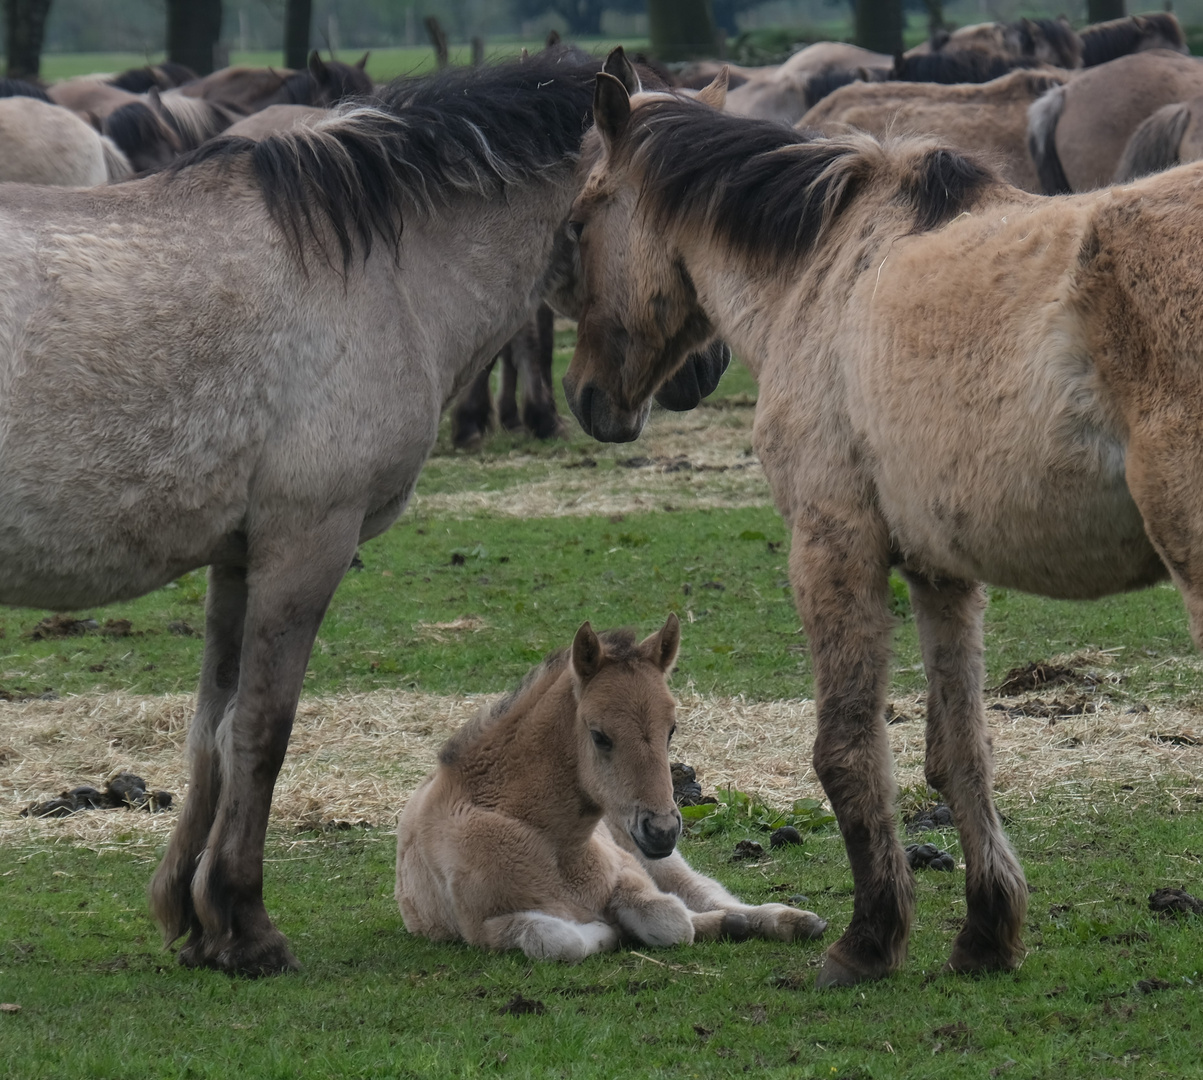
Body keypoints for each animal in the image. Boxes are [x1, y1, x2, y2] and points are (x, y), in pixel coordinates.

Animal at [394, 615, 827, 962]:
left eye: (672, 730)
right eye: (600, 736)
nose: (662, 831)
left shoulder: (629, 873)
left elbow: (672, 920)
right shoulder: (480, 928)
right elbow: (559, 939)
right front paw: (607, 931)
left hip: (658, 859)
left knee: (705, 893)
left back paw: (790, 921)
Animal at [558, 73, 1203, 986]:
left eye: (579, 224)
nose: (586, 398)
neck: (819, 275)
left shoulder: (832, 547)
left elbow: (848, 748)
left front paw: (868, 938)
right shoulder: (942, 574)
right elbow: (958, 754)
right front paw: (984, 932)